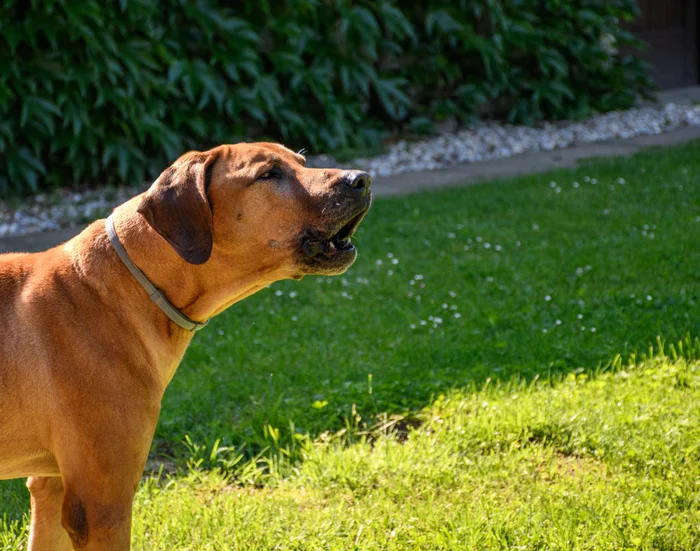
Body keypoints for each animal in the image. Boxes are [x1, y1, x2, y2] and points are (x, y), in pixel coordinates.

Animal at [0, 144, 372, 548]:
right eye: (268, 174)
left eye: (302, 162)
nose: (363, 179)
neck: (127, 283)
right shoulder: (101, 508)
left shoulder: (50, 487)